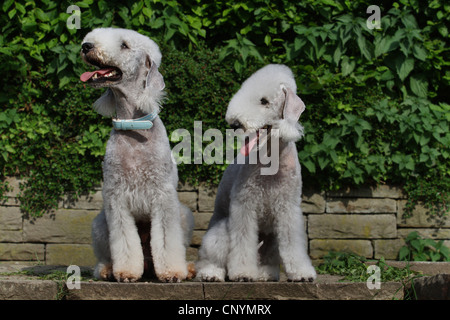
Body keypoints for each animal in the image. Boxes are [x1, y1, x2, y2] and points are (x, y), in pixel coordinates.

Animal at [81, 27, 193, 282]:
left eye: (124, 45)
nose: (86, 46)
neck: (133, 127)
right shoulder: (116, 198)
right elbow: (124, 241)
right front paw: (126, 272)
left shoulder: (163, 197)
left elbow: (167, 241)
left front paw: (172, 272)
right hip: (100, 223)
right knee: (104, 258)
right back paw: (108, 270)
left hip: (183, 215)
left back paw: (187, 269)